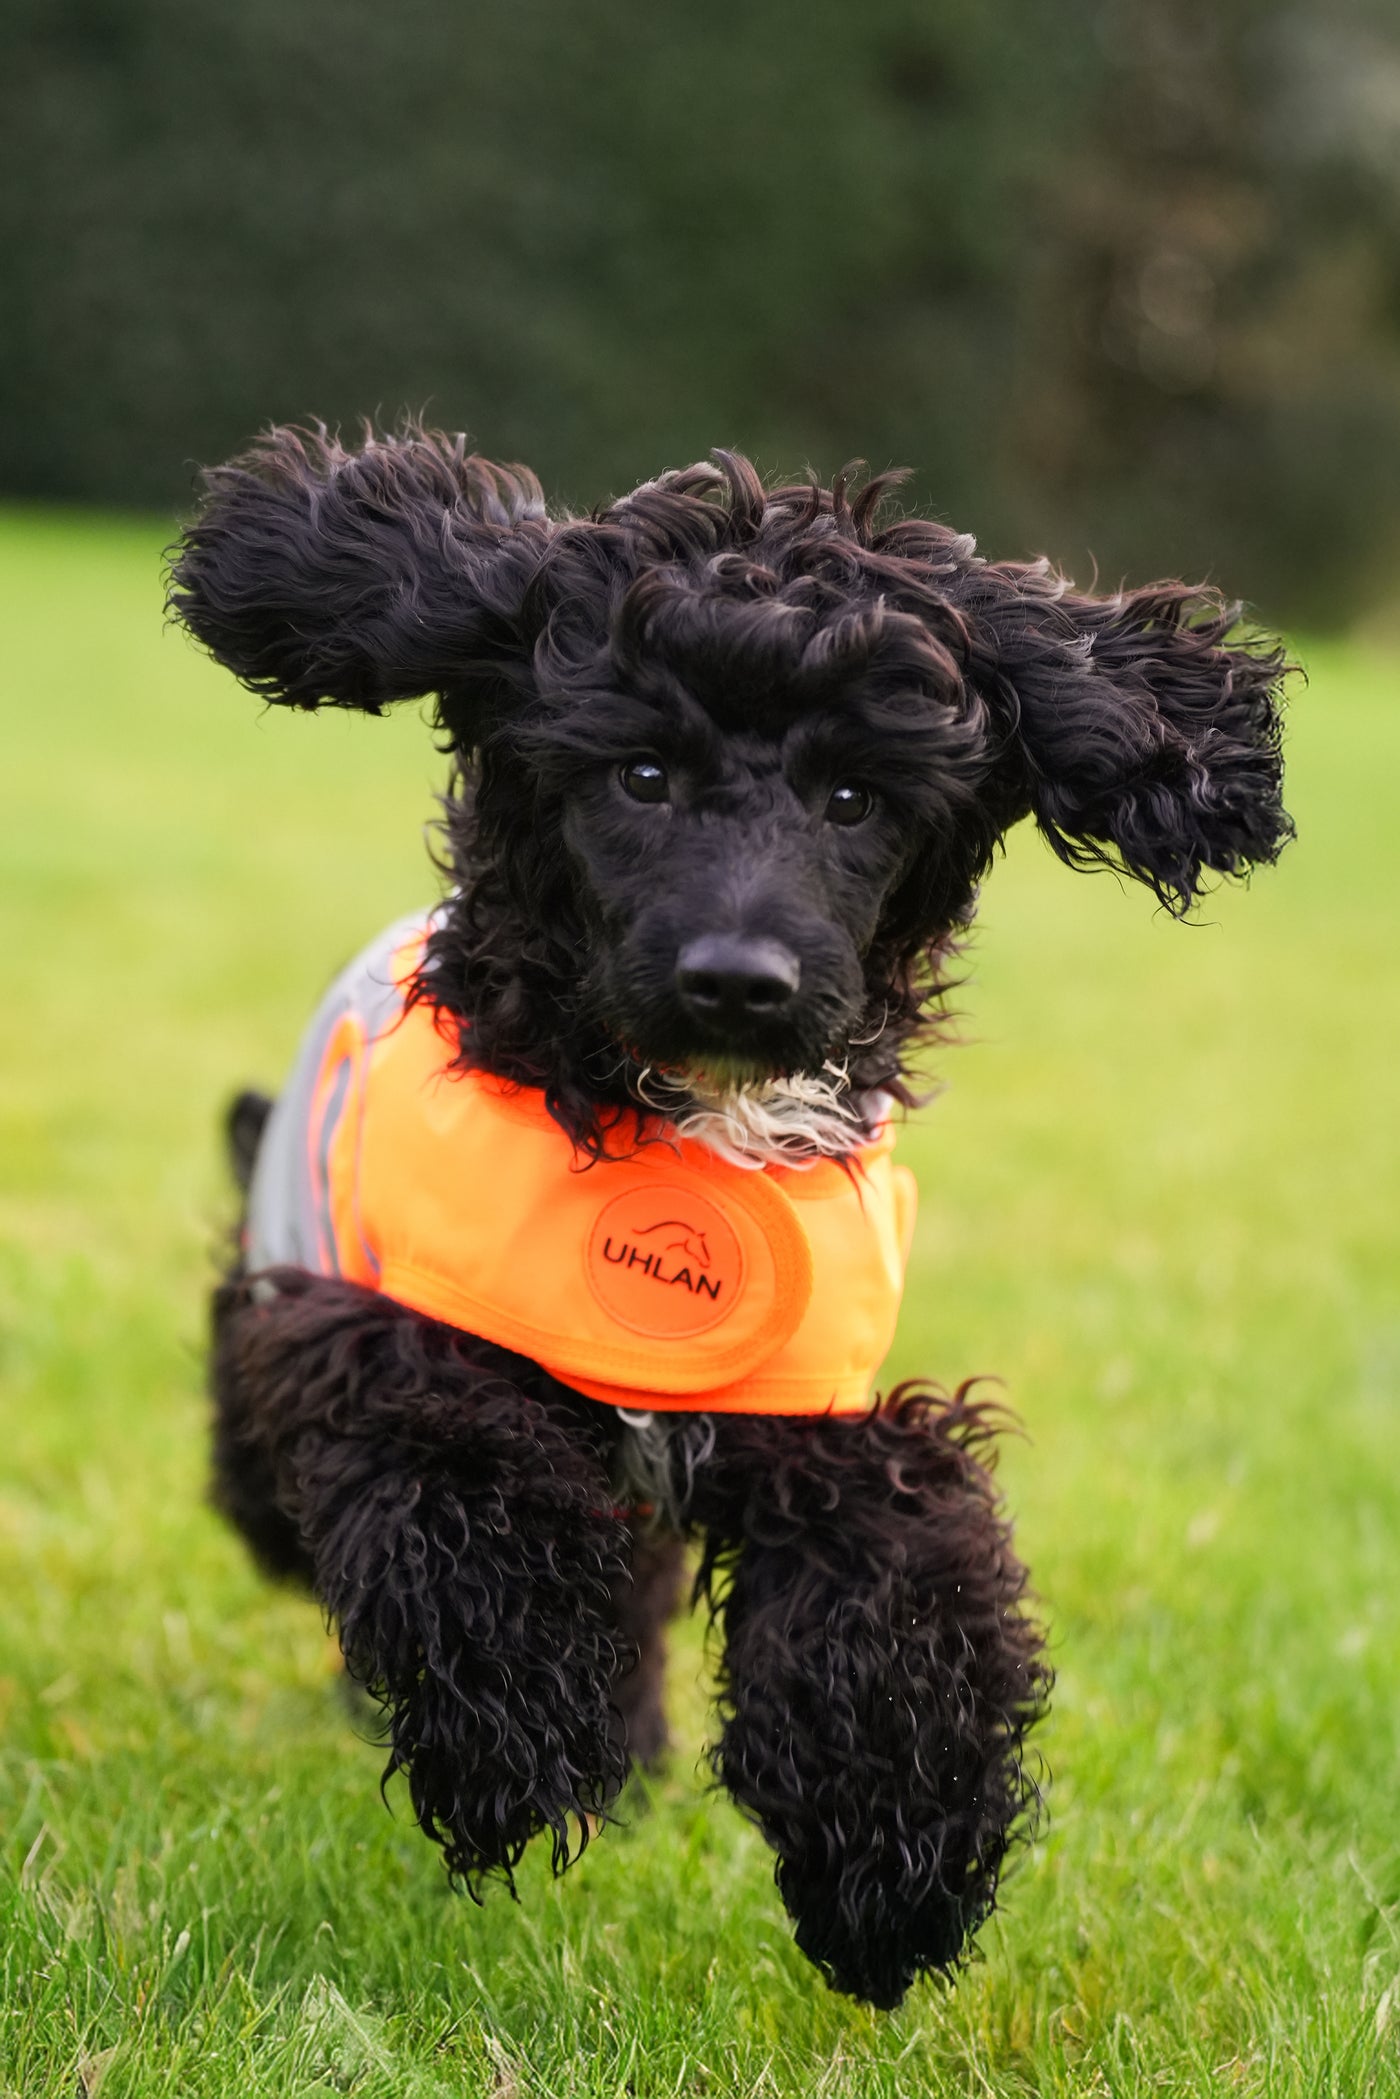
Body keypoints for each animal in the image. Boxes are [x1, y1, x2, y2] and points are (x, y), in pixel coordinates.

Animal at [172, 421, 1292, 1998]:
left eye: (855, 798)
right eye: (640, 772)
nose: (738, 979)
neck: (688, 1124)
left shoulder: (807, 1402)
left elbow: (901, 1555)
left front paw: (896, 1866)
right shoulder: (372, 1328)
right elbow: (453, 1469)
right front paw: (516, 1738)